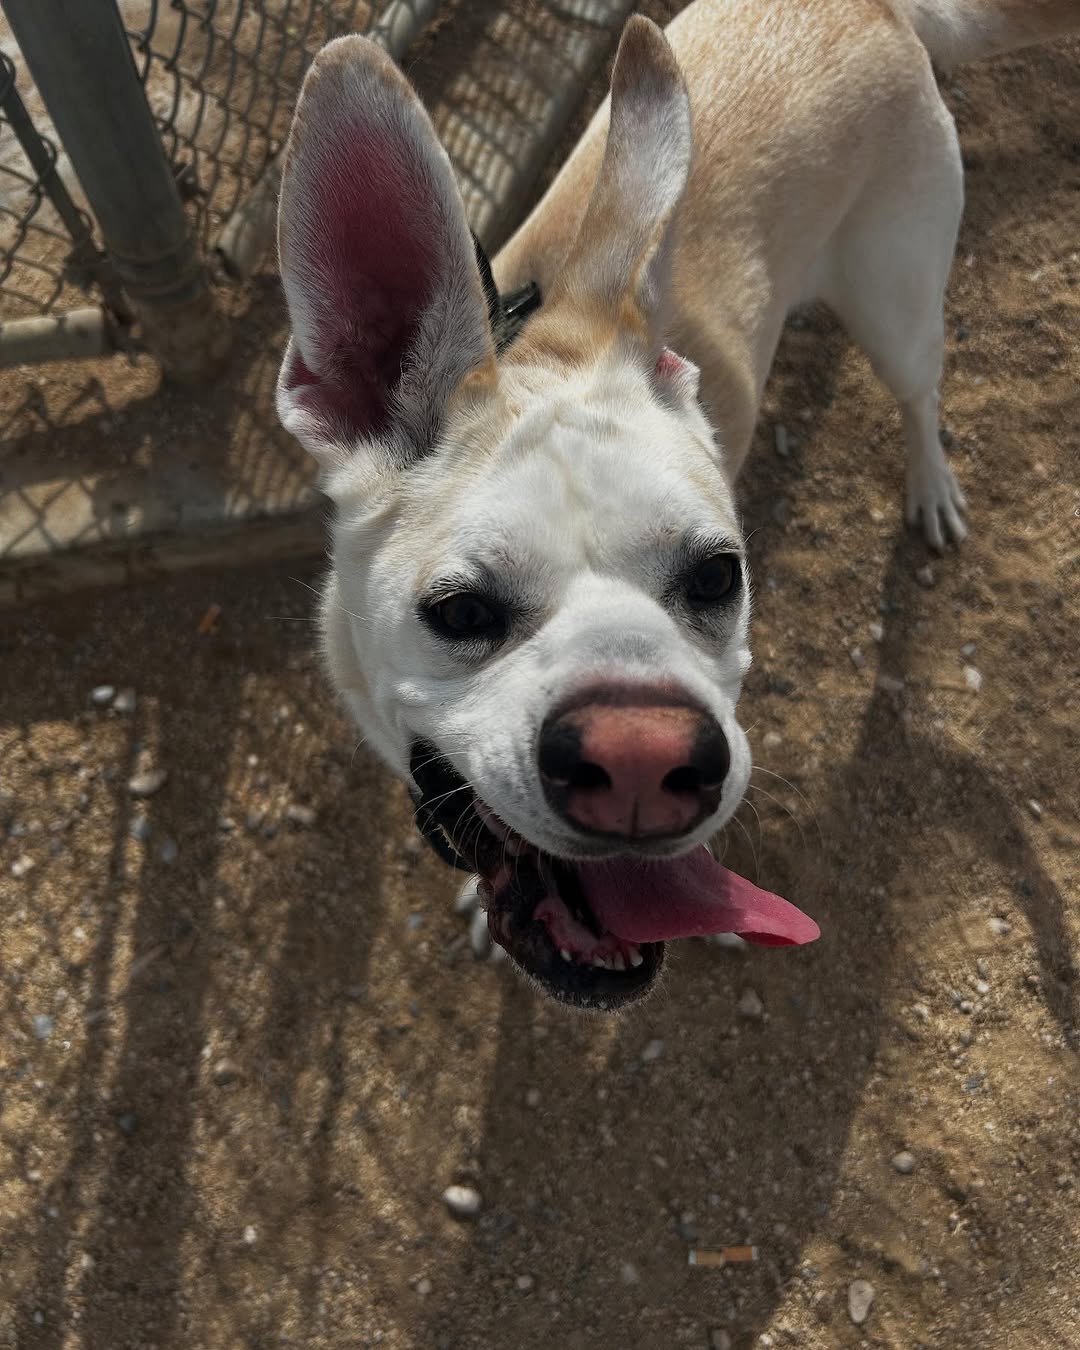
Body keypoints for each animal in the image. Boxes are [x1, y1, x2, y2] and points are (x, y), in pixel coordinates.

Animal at [278, 0, 1080, 1009]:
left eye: (717, 576)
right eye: (458, 612)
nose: (640, 763)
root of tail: (871, 7)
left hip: (900, 305)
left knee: (919, 393)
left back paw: (931, 487)